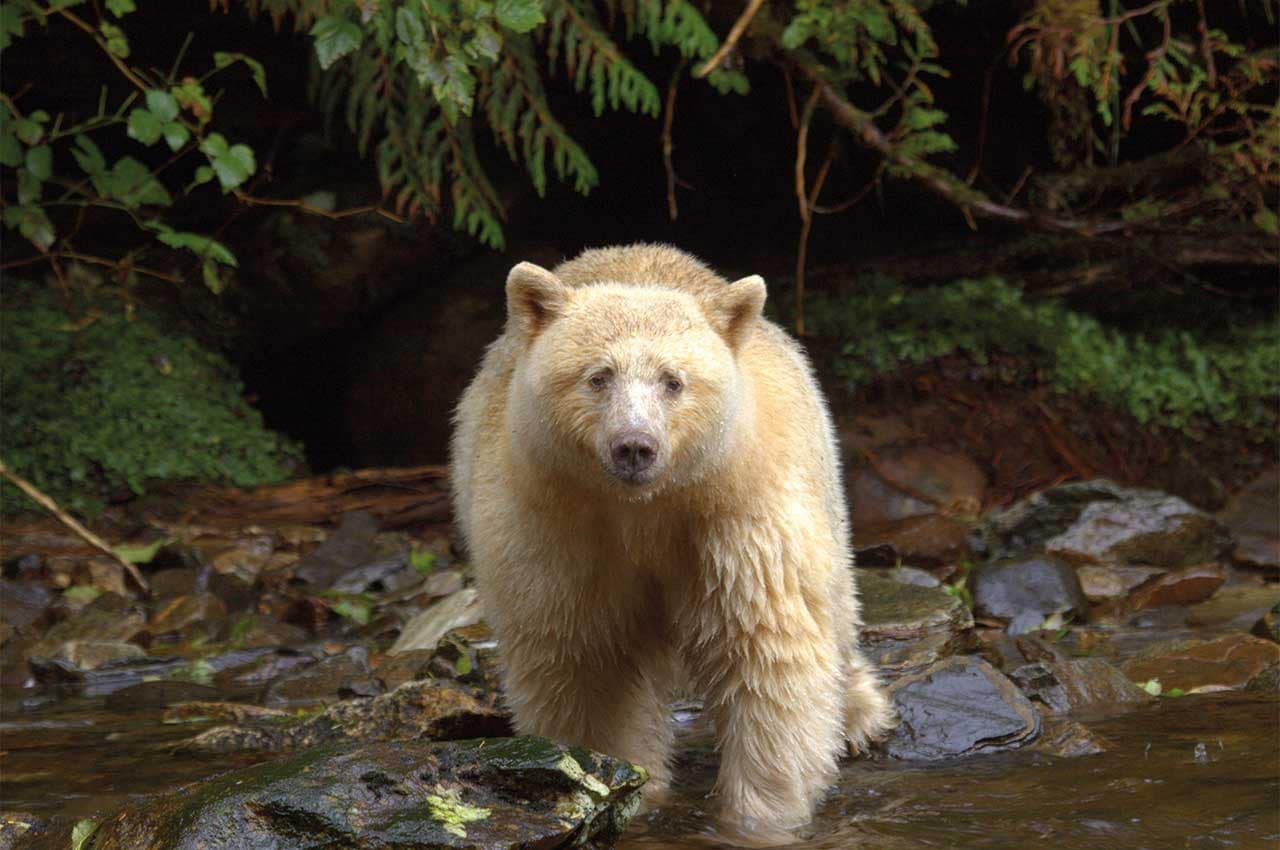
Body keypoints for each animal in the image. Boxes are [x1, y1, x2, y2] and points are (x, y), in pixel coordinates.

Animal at [450, 244, 894, 841]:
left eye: (673, 381)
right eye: (599, 376)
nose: (635, 446)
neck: (647, 507)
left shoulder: (737, 519)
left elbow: (768, 655)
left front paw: (756, 817)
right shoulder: (555, 528)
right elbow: (585, 664)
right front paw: (626, 790)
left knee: (836, 603)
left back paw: (860, 712)